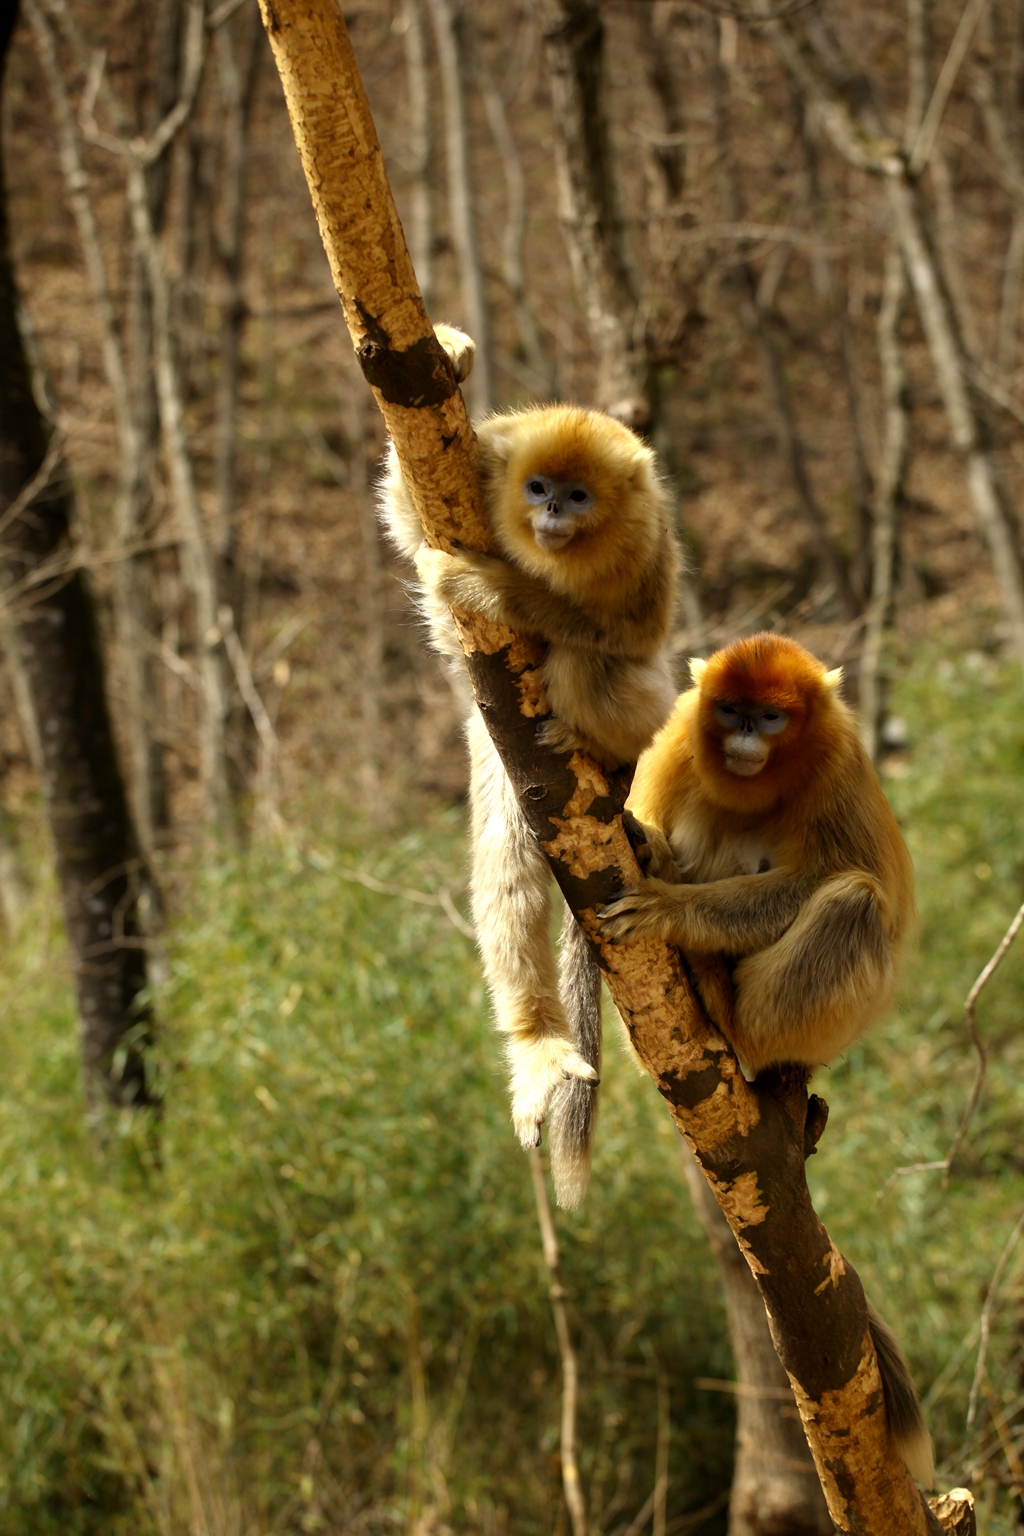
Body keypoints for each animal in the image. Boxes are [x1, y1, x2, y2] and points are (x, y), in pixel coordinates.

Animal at [376, 324, 681, 1173]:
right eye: (538, 486)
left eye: (577, 496)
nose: (549, 513)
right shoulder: (480, 468)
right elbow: (409, 524)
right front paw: (453, 354)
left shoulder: (649, 540)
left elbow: (627, 633)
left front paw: (495, 591)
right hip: (497, 752)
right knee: (507, 872)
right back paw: (538, 1044)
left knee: (596, 666)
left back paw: (602, 757)